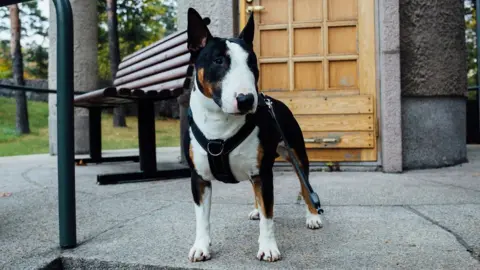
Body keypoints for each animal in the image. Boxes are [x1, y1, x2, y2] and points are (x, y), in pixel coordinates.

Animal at [184, 7, 322, 262]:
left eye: (252, 62)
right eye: (218, 61)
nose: (247, 99)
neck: (221, 124)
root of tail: (273, 101)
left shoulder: (264, 173)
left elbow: (269, 216)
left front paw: (268, 247)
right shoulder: (199, 178)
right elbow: (202, 218)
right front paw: (201, 247)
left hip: (297, 154)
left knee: (305, 185)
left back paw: (313, 216)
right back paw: (256, 210)